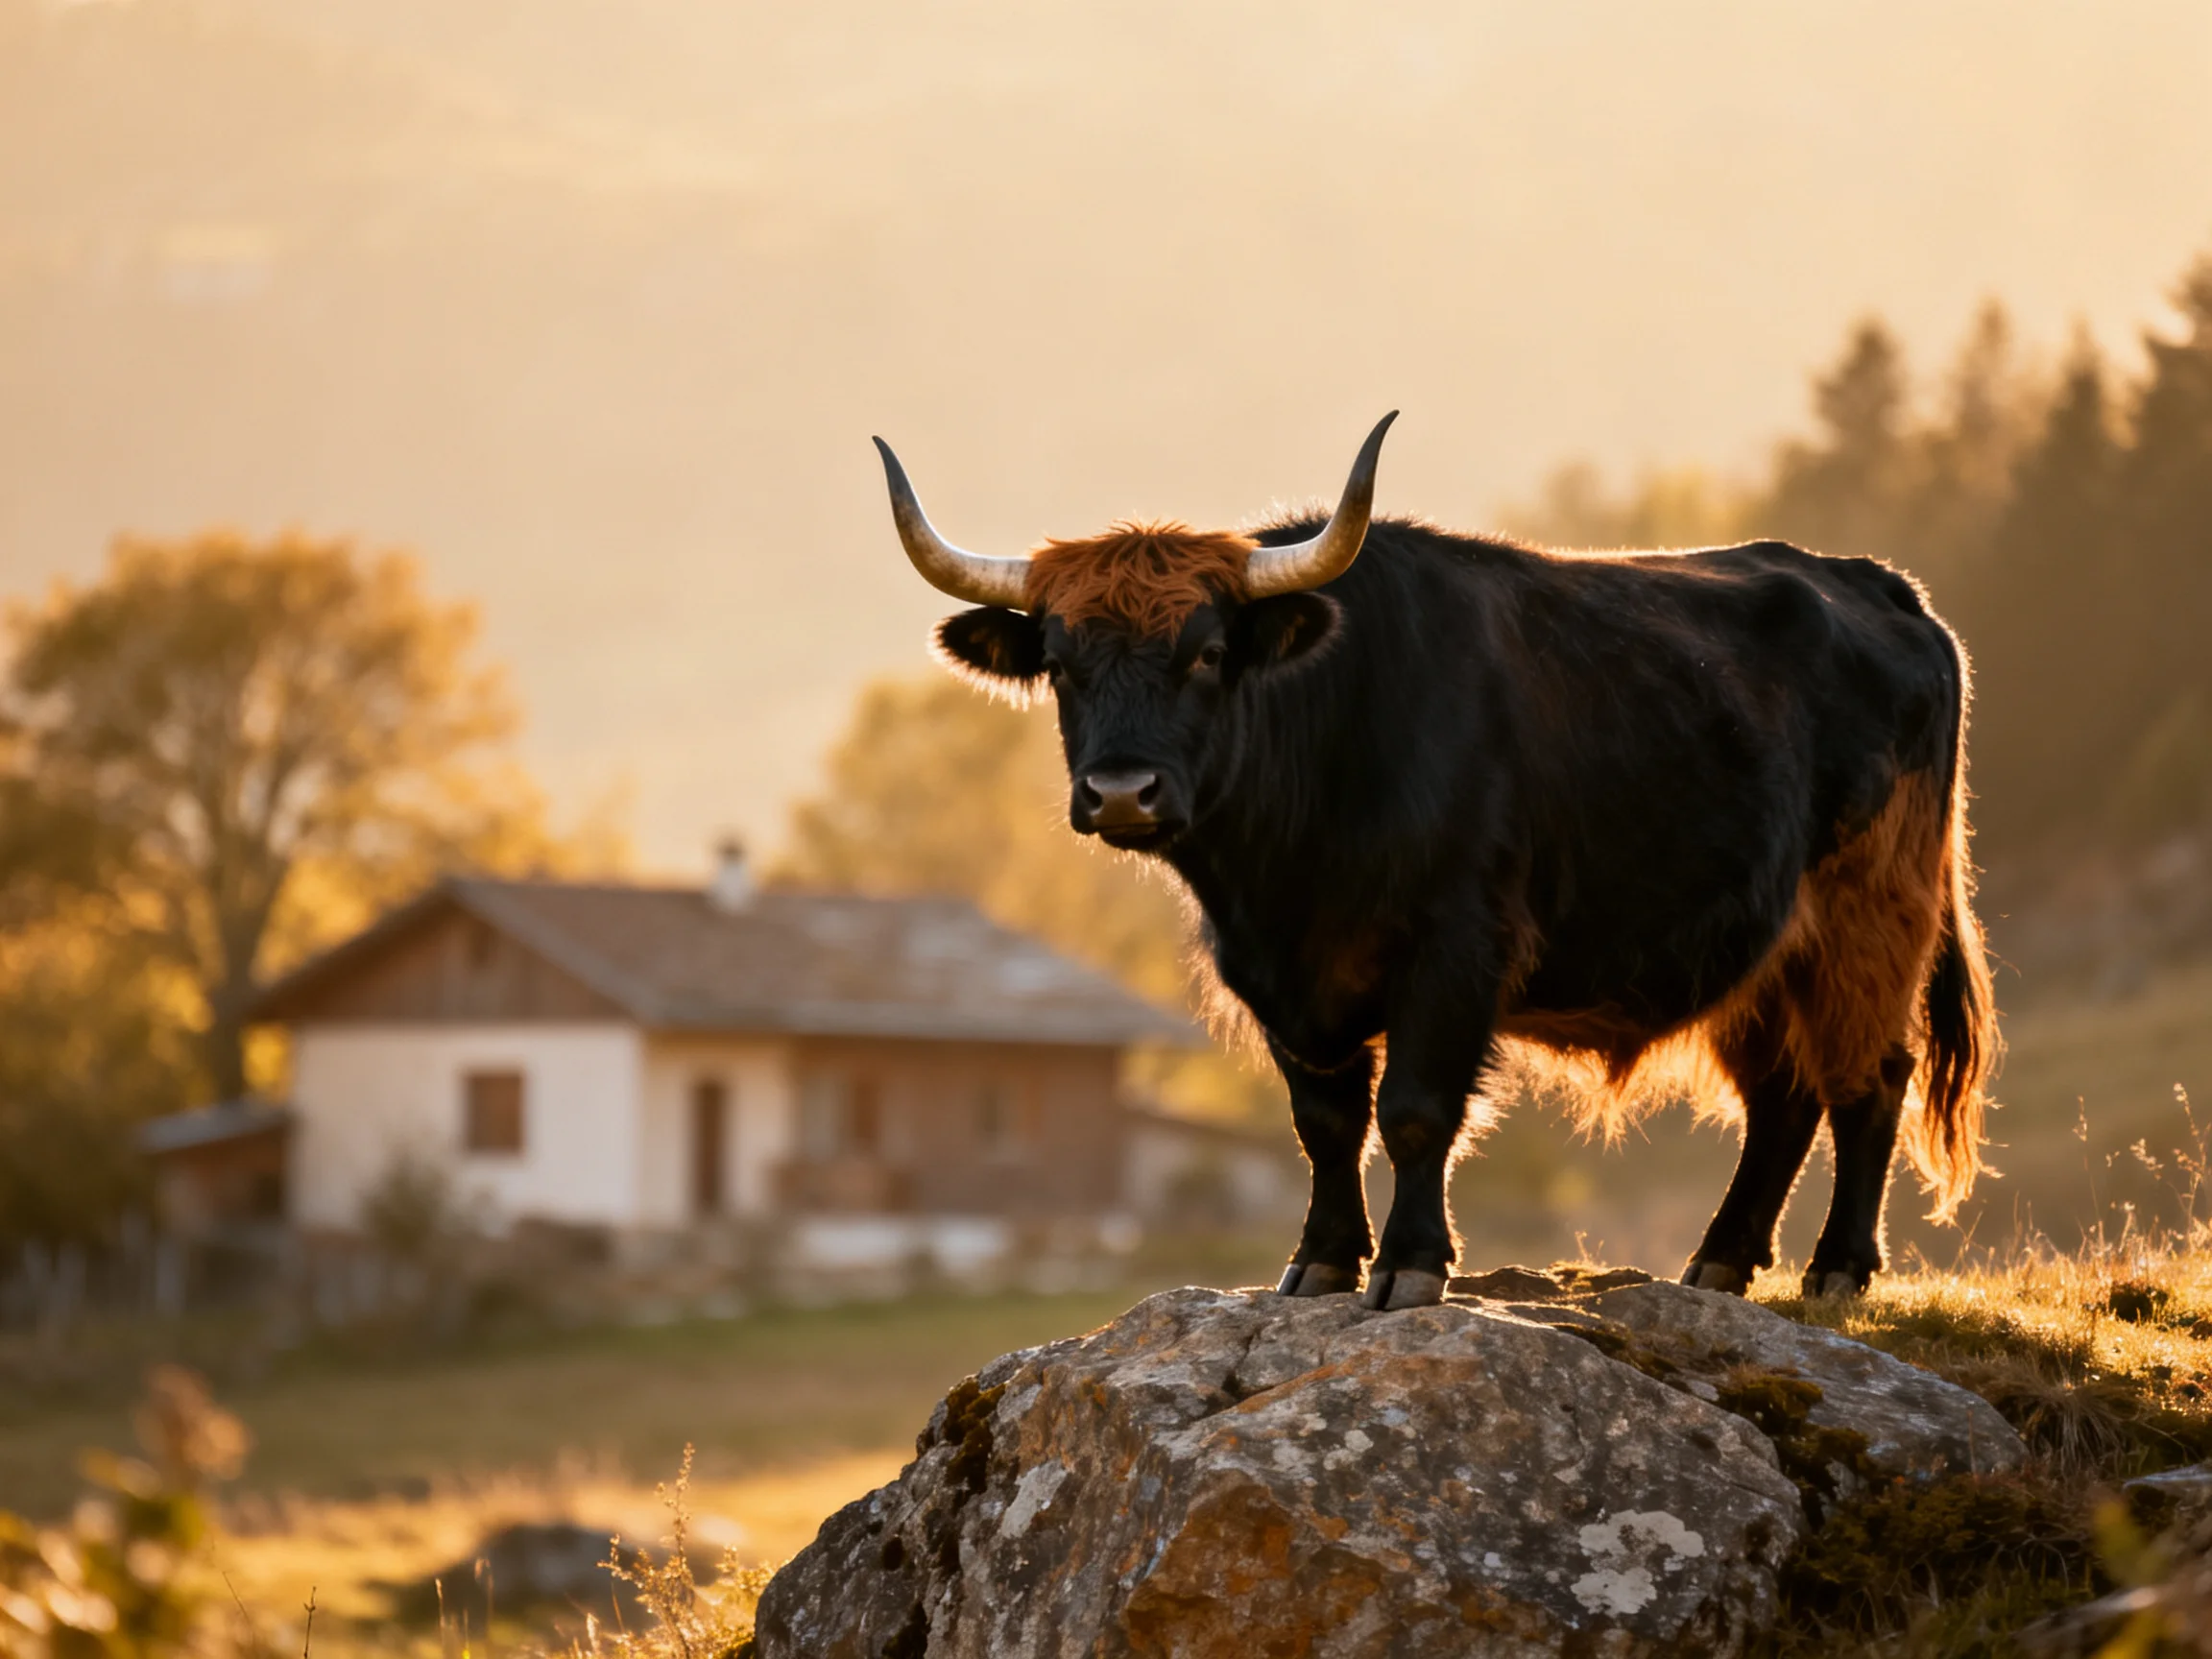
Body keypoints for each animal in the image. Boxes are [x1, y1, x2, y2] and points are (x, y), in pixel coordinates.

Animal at [871, 415, 2000, 1309]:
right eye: (1061, 664)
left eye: (1208, 653)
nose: (1119, 792)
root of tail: (1873, 585)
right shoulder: (1278, 979)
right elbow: (1325, 1123)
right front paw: (1322, 1262)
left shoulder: (1455, 949)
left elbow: (1415, 1111)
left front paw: (1411, 1266)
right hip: (1760, 948)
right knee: (1783, 1095)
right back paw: (1718, 1263)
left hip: (1870, 915)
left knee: (1869, 1076)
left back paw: (1838, 1268)